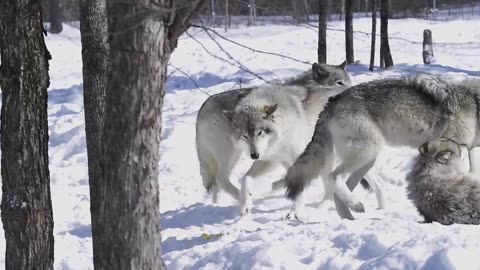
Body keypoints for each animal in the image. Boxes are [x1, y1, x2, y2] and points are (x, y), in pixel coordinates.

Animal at [195, 61, 382, 215]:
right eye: (339, 82)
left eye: (260, 132)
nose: (354, 90)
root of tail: (203, 107)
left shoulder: (274, 158)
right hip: (232, 154)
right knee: (221, 179)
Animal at [284, 75, 480, 219]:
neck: (476, 106)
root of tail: (331, 101)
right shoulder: (452, 149)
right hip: (368, 151)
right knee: (335, 177)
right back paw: (355, 206)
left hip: (368, 159)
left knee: (342, 188)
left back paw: (351, 218)